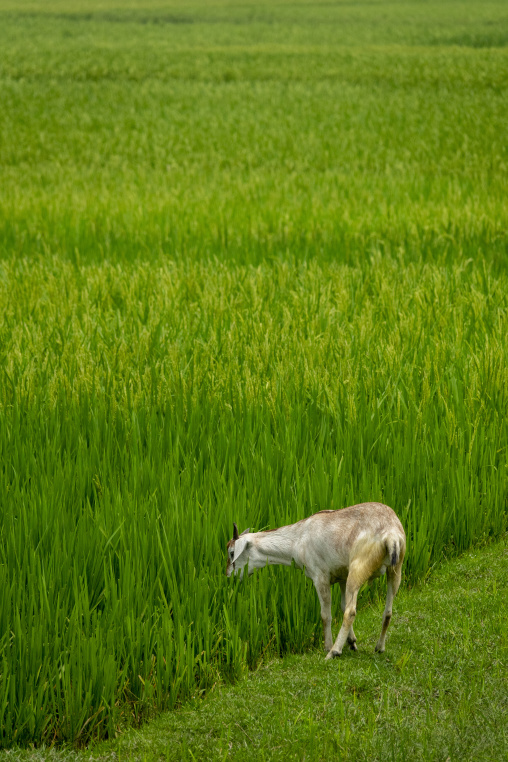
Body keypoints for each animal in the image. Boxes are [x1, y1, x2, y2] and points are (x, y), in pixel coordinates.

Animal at [226, 502, 406, 658]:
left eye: (232, 552)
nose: (228, 576)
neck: (298, 538)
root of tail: (390, 534)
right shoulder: (342, 576)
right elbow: (341, 605)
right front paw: (352, 642)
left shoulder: (320, 577)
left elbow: (326, 614)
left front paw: (328, 645)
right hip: (395, 569)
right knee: (387, 611)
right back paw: (379, 647)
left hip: (358, 568)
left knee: (351, 611)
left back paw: (333, 652)